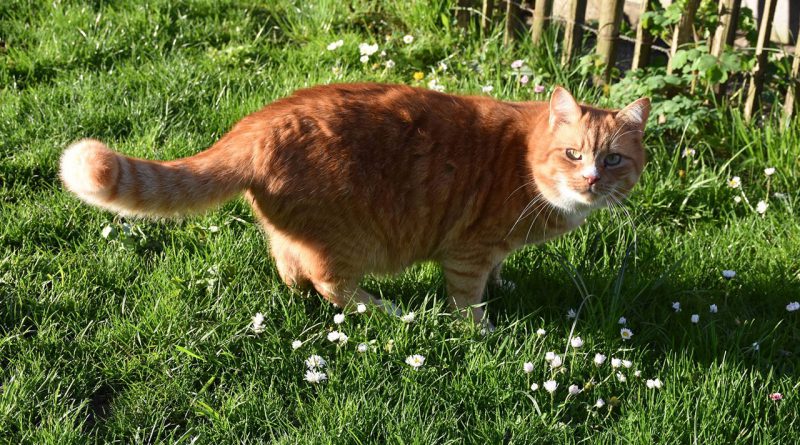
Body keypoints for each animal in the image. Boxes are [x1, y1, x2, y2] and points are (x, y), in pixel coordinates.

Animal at [62, 83, 648, 324]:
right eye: (573, 154)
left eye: (614, 160)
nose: (592, 180)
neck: (524, 161)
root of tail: (255, 125)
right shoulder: (467, 253)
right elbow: (468, 301)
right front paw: (481, 328)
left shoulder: (491, 250)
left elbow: (497, 272)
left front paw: (504, 284)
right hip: (352, 242)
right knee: (332, 285)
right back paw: (389, 311)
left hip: (297, 235)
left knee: (288, 264)